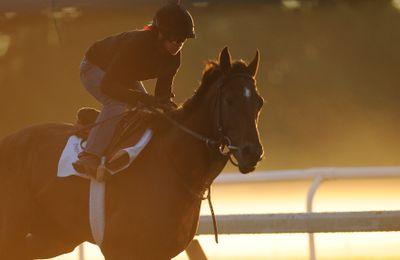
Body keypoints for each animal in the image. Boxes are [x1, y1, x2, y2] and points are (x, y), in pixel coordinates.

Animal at [0, 47, 266, 260]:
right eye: (229, 100)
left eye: (258, 102)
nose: (252, 152)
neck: (175, 165)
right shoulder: (119, 248)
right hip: (12, 227)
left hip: (52, 236)